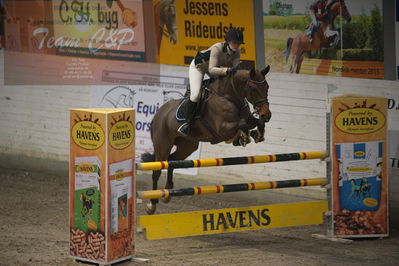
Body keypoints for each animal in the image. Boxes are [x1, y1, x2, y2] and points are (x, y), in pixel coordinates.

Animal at [141, 66, 272, 214]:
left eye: (267, 87)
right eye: (252, 87)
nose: (266, 115)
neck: (229, 97)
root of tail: (158, 113)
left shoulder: (247, 119)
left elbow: (256, 122)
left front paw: (256, 135)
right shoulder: (223, 129)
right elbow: (243, 124)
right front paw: (244, 136)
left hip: (187, 146)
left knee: (173, 160)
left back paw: (168, 192)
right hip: (163, 145)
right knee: (157, 170)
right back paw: (152, 204)